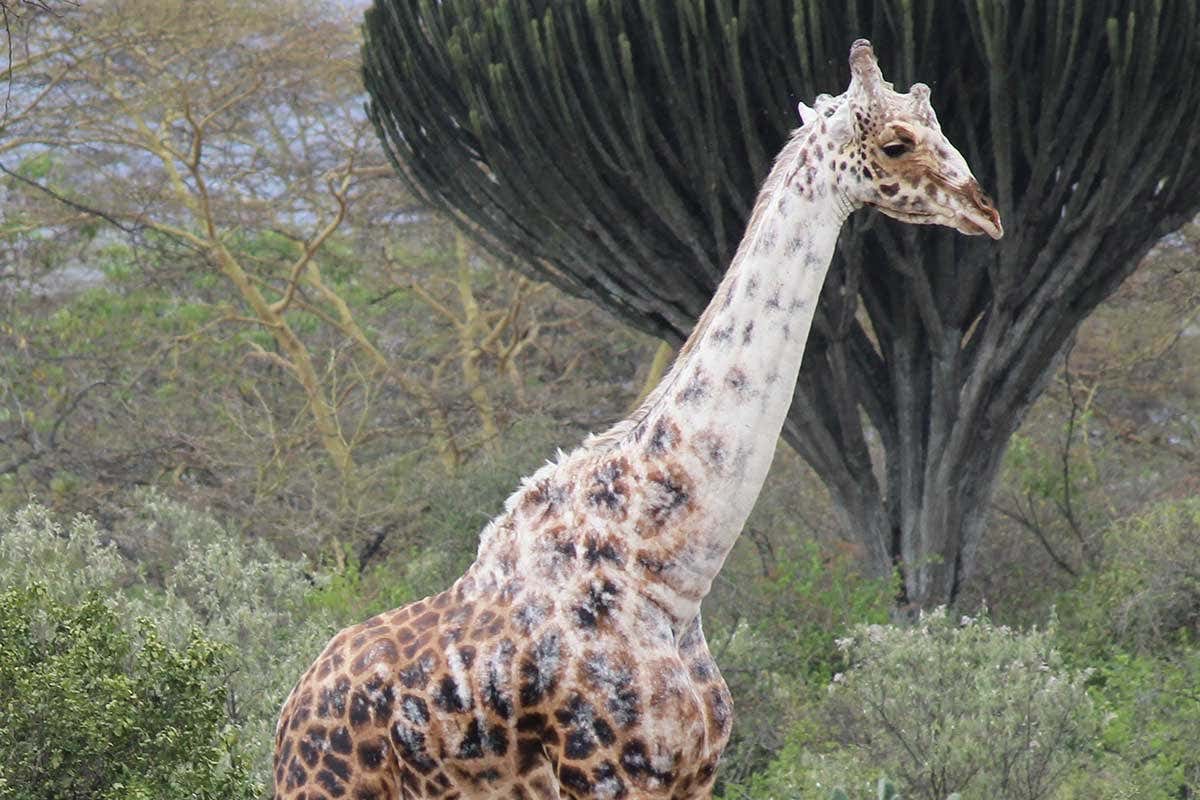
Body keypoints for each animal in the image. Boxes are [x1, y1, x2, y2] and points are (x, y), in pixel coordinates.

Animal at [273, 39, 1001, 800]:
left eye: (939, 123)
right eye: (896, 143)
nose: (985, 210)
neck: (669, 576)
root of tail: (288, 716)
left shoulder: (696, 772)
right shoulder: (610, 772)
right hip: (323, 789)